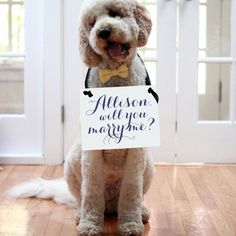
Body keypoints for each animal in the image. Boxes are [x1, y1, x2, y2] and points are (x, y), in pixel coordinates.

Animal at [7, 0, 155, 236]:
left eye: (115, 13)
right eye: (92, 23)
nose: (103, 32)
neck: (114, 76)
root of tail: (110, 205)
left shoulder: (137, 152)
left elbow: (132, 189)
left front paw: (131, 224)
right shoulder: (91, 156)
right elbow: (92, 191)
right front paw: (89, 225)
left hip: (148, 165)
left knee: (135, 195)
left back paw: (140, 212)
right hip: (74, 159)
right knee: (82, 197)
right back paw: (80, 213)